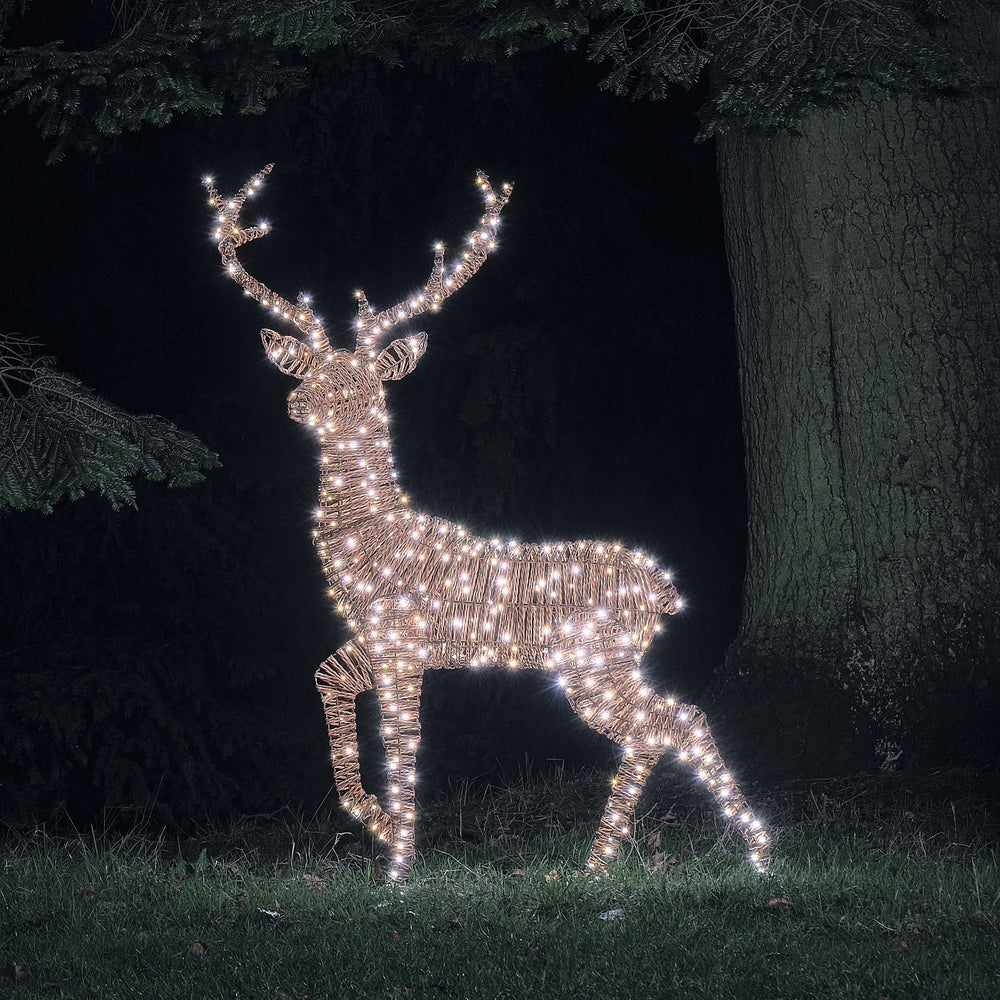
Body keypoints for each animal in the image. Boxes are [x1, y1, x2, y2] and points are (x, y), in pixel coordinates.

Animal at [205, 164, 772, 880]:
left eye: (364, 382)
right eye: (314, 371)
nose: (302, 403)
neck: (373, 538)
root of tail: (664, 590)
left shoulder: (404, 639)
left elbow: (405, 745)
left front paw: (400, 866)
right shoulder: (375, 641)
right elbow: (326, 680)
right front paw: (377, 823)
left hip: (594, 659)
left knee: (671, 721)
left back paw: (730, 852)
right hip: (601, 662)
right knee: (669, 721)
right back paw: (625, 860)